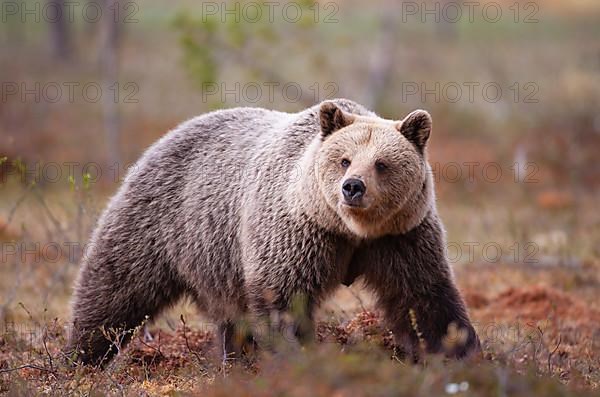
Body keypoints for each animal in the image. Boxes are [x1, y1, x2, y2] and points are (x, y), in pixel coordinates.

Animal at [67, 97, 478, 364]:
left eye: (382, 163)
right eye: (344, 160)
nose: (352, 187)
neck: (349, 231)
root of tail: (168, 135)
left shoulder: (400, 236)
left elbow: (422, 296)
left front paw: (459, 351)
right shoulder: (296, 233)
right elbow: (283, 299)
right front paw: (297, 355)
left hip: (218, 262)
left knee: (229, 317)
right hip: (160, 222)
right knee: (113, 291)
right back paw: (81, 357)